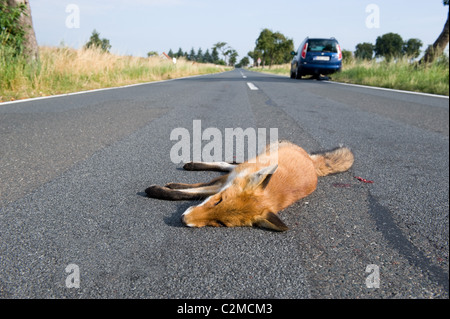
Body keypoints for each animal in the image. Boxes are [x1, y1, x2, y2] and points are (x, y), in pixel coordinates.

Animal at [146, 141, 354, 231]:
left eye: (220, 223)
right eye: (218, 201)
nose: (183, 220)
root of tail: (311, 161)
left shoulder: (223, 184)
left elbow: (189, 192)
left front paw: (163, 189)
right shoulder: (226, 183)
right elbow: (193, 189)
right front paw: (164, 187)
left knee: (229, 165)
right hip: (258, 156)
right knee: (229, 164)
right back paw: (193, 165)